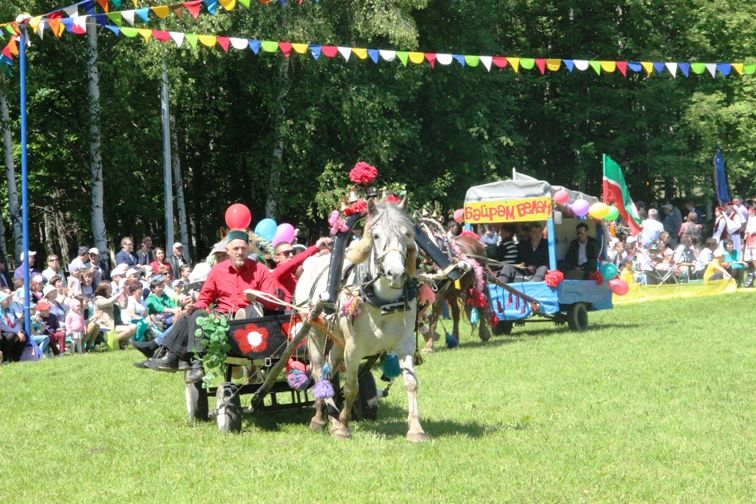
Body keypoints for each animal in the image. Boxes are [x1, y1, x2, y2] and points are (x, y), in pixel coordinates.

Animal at [294, 199, 428, 442]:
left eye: (407, 234)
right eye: (375, 235)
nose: (396, 273)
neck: (383, 303)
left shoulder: (405, 344)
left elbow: (411, 383)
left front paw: (416, 429)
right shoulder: (354, 348)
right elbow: (351, 386)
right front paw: (343, 426)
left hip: (337, 340)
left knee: (330, 370)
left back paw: (330, 413)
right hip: (315, 331)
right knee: (318, 371)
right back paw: (321, 417)